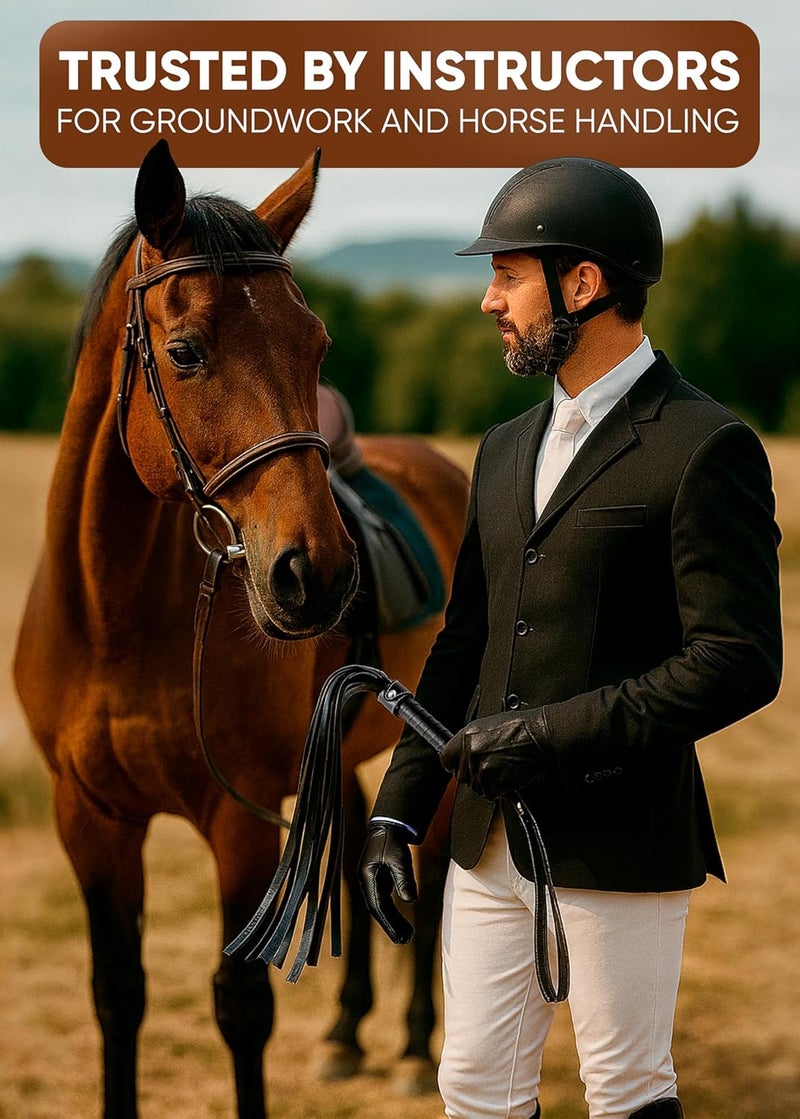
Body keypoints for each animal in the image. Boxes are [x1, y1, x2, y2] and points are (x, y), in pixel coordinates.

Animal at [13, 139, 468, 1119]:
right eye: (185, 351)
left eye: (317, 345)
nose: (320, 573)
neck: (116, 618)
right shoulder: (90, 820)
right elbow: (118, 995)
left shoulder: (239, 821)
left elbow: (241, 1004)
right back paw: (346, 1034)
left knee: (429, 885)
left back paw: (417, 1048)